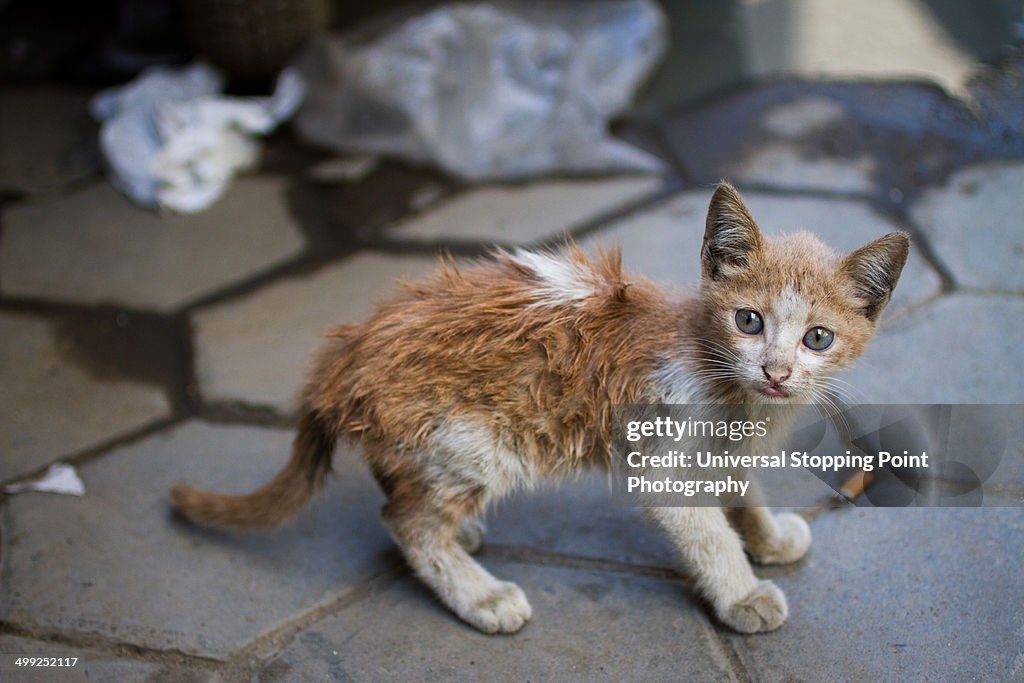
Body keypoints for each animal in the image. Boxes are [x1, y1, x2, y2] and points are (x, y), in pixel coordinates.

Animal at [172, 183, 909, 634]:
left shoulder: (725, 451)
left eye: (818, 337)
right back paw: (480, 593)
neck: (737, 395)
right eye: (748, 320)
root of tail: (348, 350)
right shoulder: (661, 458)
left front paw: (768, 537)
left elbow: (740, 491)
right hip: (474, 440)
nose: (776, 371)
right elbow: (707, 533)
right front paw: (742, 590)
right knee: (406, 523)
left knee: (404, 502)